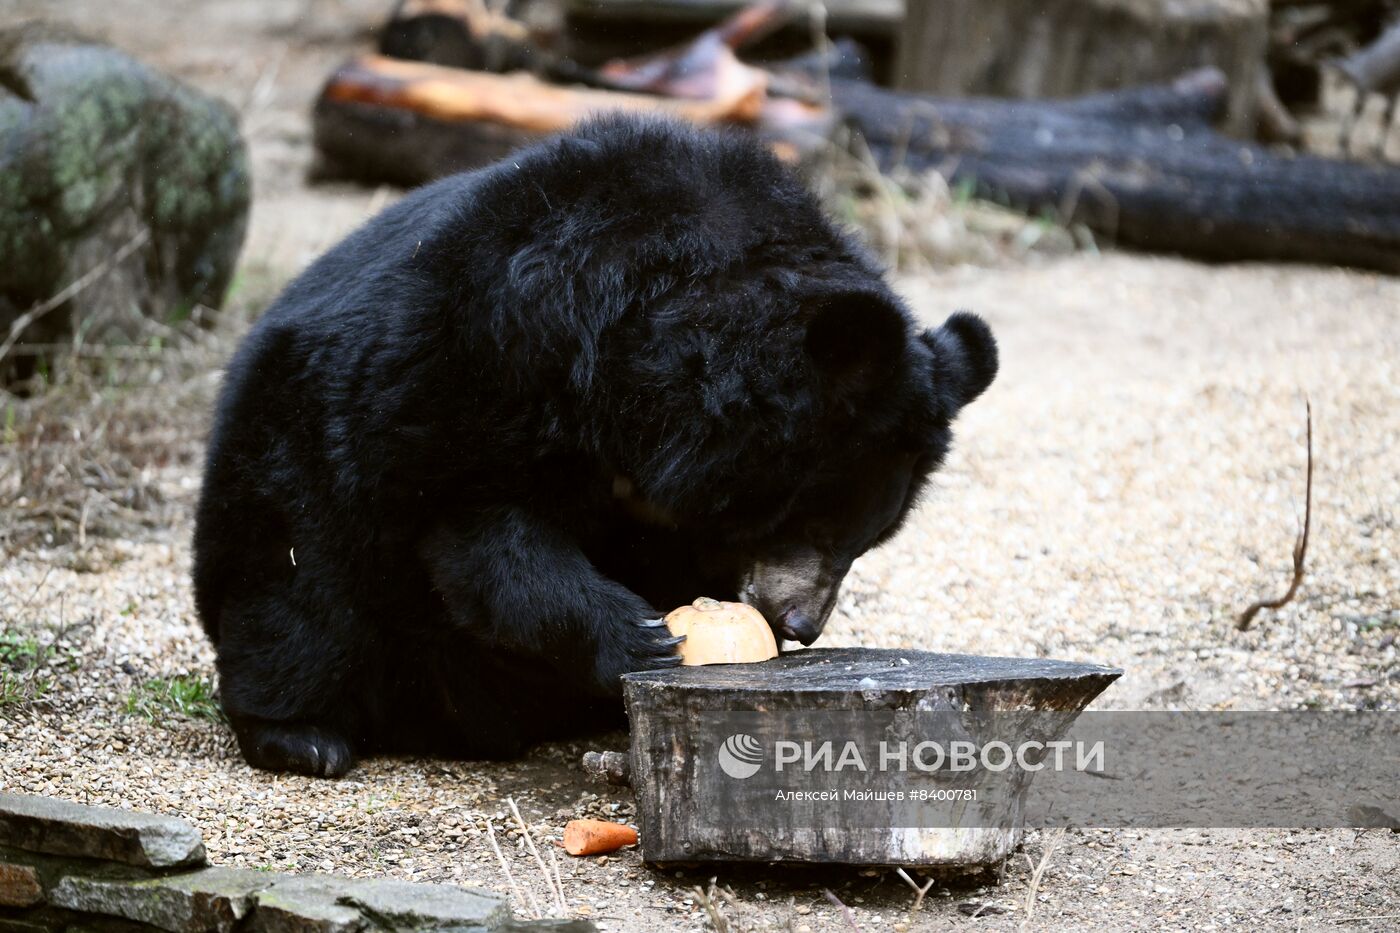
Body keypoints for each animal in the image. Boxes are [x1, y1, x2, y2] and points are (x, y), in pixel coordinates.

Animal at [194, 114, 996, 778]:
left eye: (866, 542)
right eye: (816, 522)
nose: (800, 623)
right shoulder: (483, 364)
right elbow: (482, 535)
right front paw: (641, 637)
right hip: (291, 455)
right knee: (298, 594)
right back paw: (304, 735)